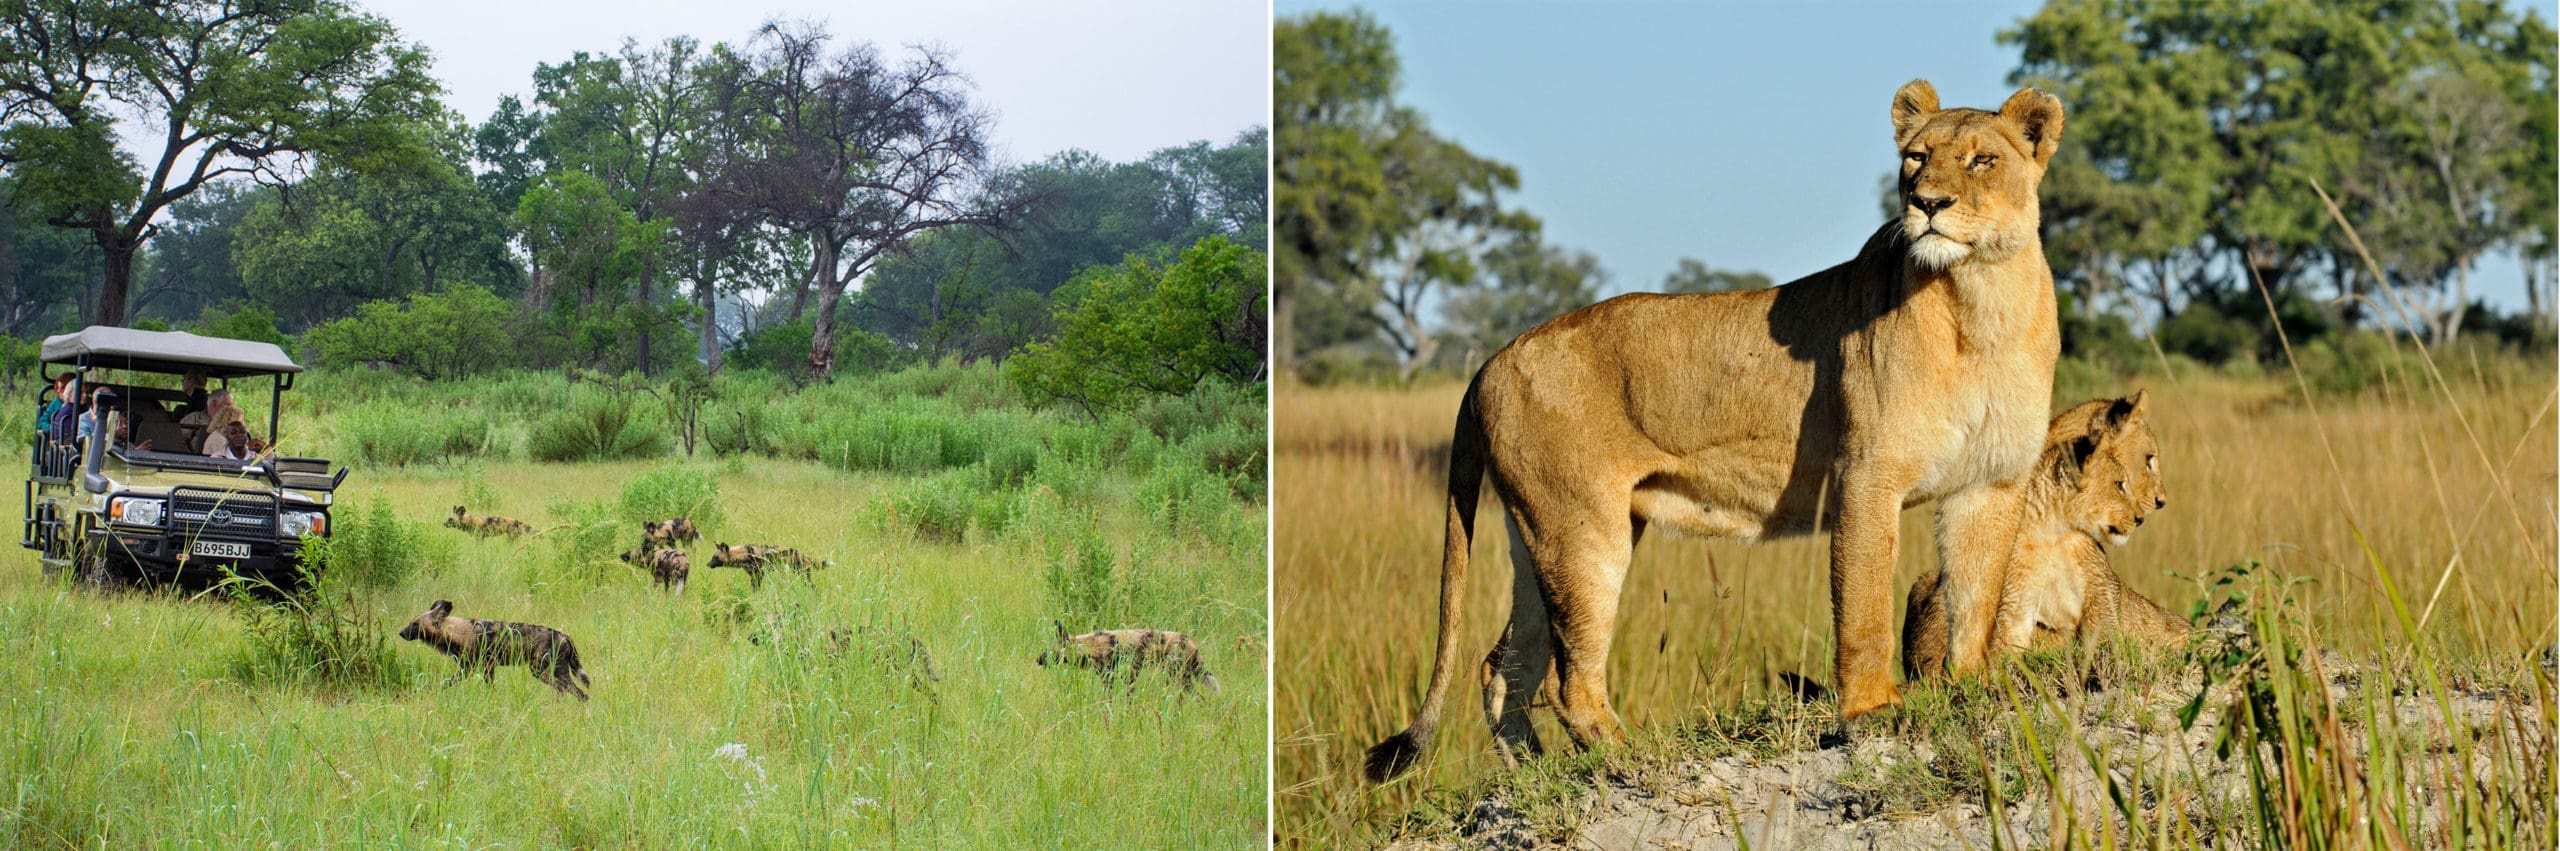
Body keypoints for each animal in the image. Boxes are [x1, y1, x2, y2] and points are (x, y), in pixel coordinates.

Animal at [396, 597, 591, 697]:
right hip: (547, 673)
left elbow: (490, 688)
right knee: (571, 692)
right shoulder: (467, 669)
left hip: (544, 671)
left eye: (415, 624)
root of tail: (565, 636)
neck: (459, 632)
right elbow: (445, 683)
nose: (401, 633)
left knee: (579, 693)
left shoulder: (487, 666)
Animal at [701, 540, 829, 589]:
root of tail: (805, 554)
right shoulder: (753, 575)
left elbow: (756, 588)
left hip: (802, 575)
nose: (707, 564)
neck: (745, 554)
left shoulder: (759, 573)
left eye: (715, 558)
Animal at [1034, 622, 1223, 697]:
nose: (1038, 659)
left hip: (1177, 678)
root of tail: (1190, 642)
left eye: (1052, 651)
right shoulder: (1124, 678)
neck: (1090, 645)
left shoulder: (1114, 677)